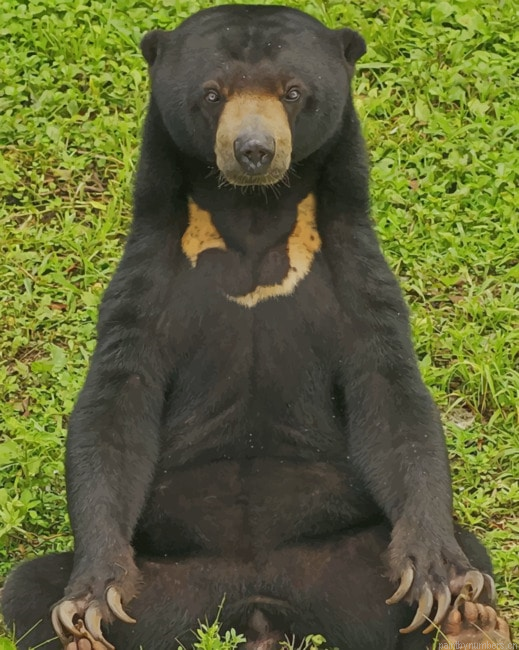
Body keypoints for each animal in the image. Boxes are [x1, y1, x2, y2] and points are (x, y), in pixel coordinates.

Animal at [1, 5, 509, 650]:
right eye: (211, 94)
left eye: (293, 92)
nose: (254, 151)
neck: (254, 213)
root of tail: (258, 608)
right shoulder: (151, 269)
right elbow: (116, 402)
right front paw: (93, 595)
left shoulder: (352, 263)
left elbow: (391, 393)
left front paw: (436, 574)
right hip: (170, 586)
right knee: (26, 587)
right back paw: (83, 634)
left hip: (343, 568)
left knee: (468, 558)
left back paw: (471, 619)